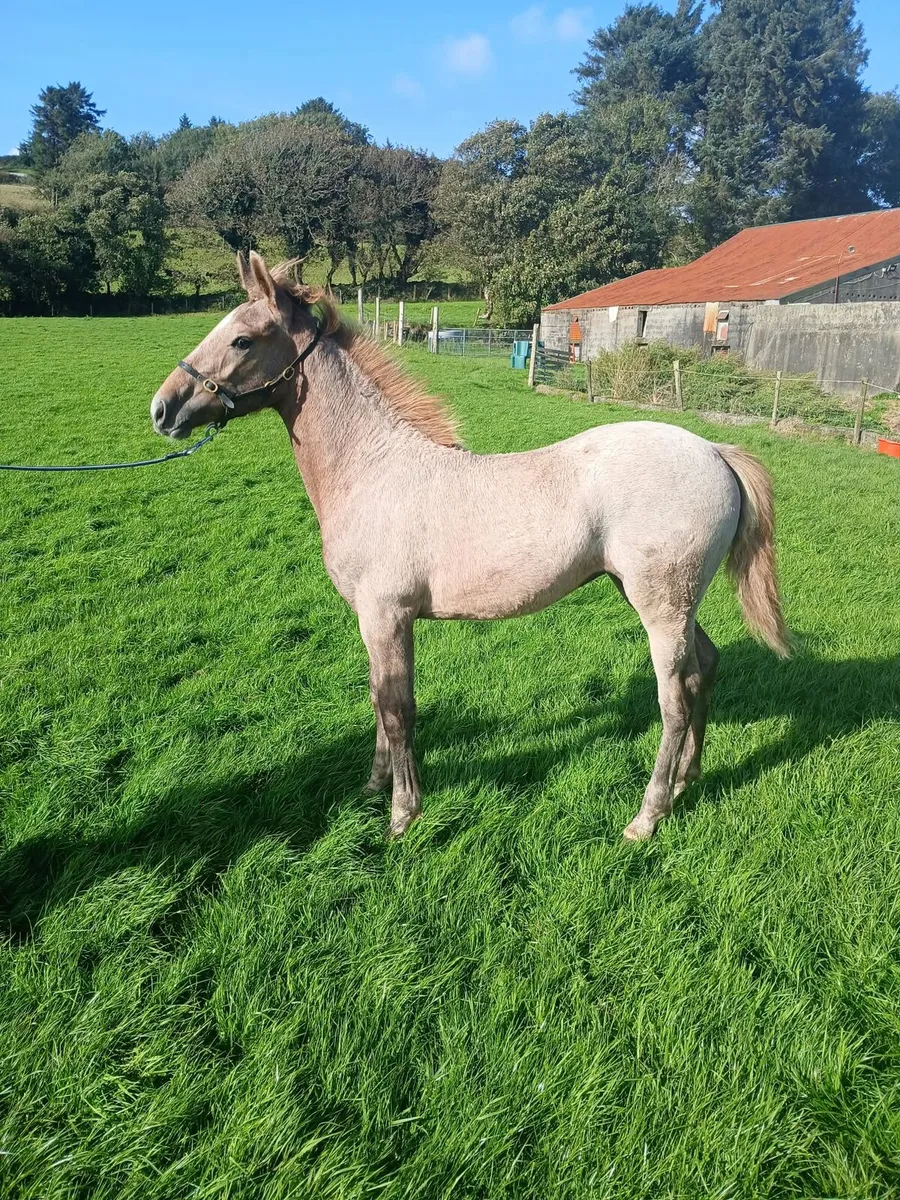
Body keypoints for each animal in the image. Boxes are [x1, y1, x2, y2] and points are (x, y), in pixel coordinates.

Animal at [150, 252, 790, 841]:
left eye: (242, 338)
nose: (163, 409)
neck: (373, 469)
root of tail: (714, 451)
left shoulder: (387, 614)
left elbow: (398, 709)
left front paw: (403, 817)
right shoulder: (376, 620)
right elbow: (379, 701)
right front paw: (374, 786)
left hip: (660, 608)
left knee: (674, 701)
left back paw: (648, 816)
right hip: (671, 602)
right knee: (706, 668)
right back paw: (687, 782)